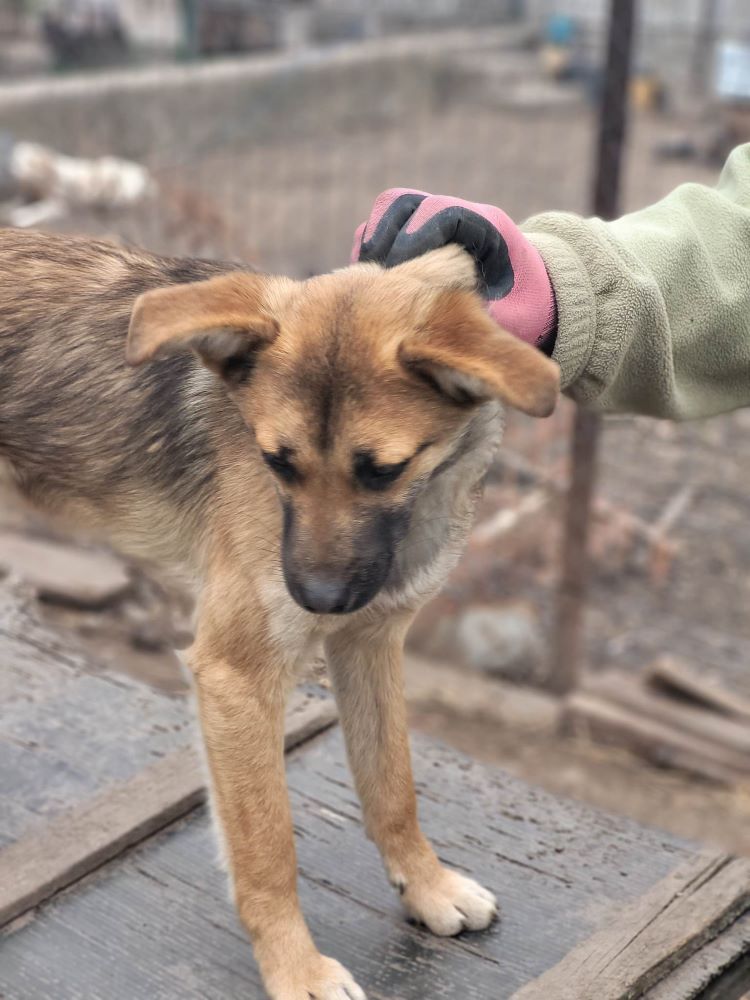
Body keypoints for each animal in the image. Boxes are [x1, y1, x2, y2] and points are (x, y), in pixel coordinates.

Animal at [0, 230, 560, 996]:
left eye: (383, 471)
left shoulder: (369, 644)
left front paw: (427, 886)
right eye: (275, 461)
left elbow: (393, 786)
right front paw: (297, 968)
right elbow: (268, 850)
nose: (316, 599)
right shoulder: (236, 677)